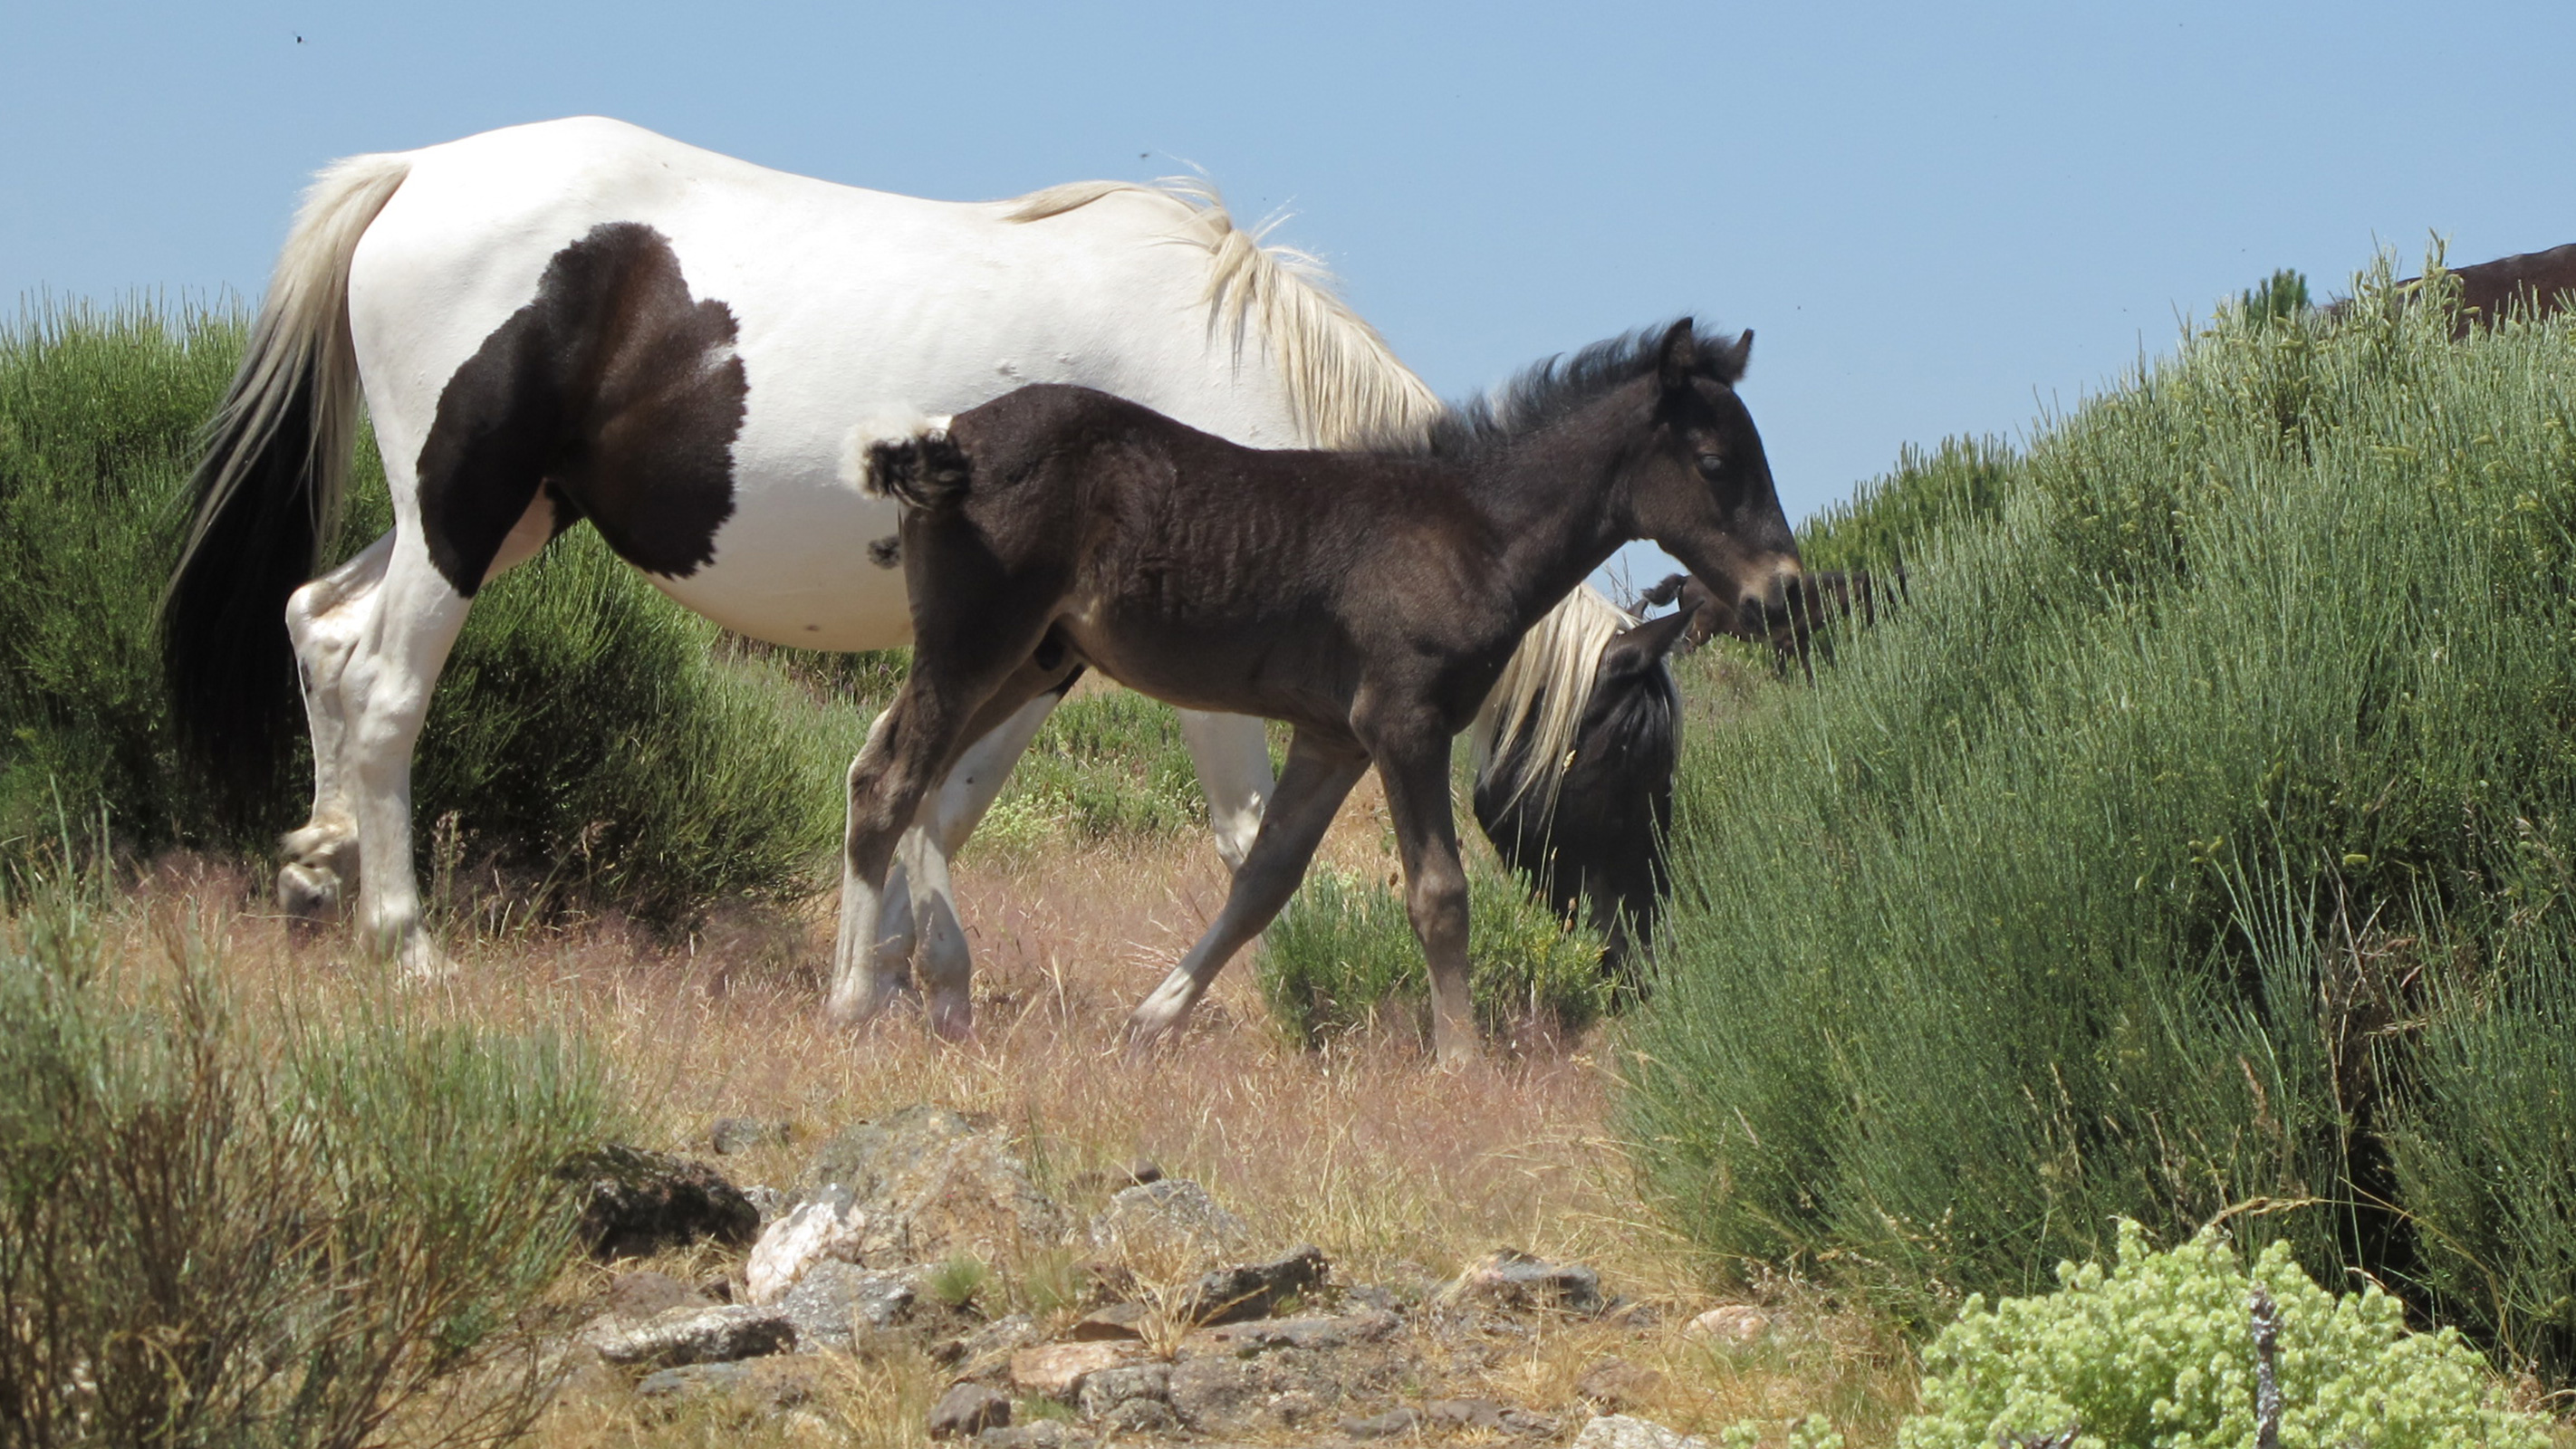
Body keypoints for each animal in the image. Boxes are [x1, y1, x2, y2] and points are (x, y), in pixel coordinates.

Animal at [160, 116, 1636, 998]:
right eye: (1632, 763)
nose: (1638, 962)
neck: (1220, 381)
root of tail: (415, 168)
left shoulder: (1041, 651)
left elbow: (943, 799)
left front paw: (916, 969)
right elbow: (1244, 838)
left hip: (496, 516)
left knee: (321, 628)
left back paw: (316, 871)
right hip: (463, 514)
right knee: (388, 691)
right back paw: (407, 947)